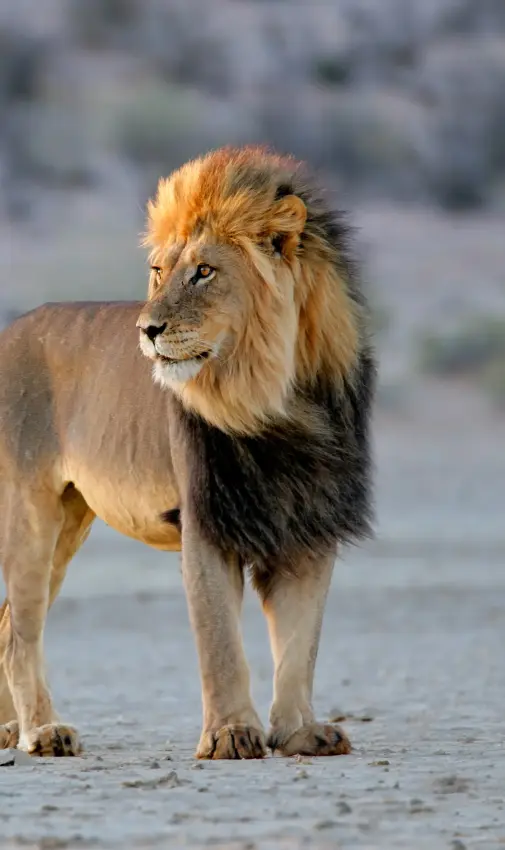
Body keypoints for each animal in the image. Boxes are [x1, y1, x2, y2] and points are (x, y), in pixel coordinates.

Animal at [0, 145, 375, 759]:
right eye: (159, 271)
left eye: (204, 271)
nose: (146, 329)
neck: (276, 400)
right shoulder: (207, 520)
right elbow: (219, 639)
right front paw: (231, 735)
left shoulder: (310, 523)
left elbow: (301, 643)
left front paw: (301, 732)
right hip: (29, 512)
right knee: (21, 631)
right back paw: (42, 732)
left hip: (70, 520)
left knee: (8, 621)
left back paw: (11, 729)